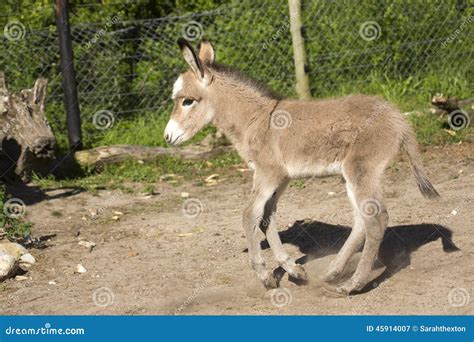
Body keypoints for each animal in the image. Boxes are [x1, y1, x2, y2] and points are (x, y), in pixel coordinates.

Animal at [165, 39, 438, 294]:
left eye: (187, 101)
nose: (167, 137)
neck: (257, 120)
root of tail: (398, 117)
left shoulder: (268, 173)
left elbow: (249, 214)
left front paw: (265, 277)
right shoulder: (281, 178)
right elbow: (266, 218)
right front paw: (294, 270)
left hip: (362, 169)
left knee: (375, 219)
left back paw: (352, 285)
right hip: (351, 175)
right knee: (362, 219)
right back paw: (331, 273)